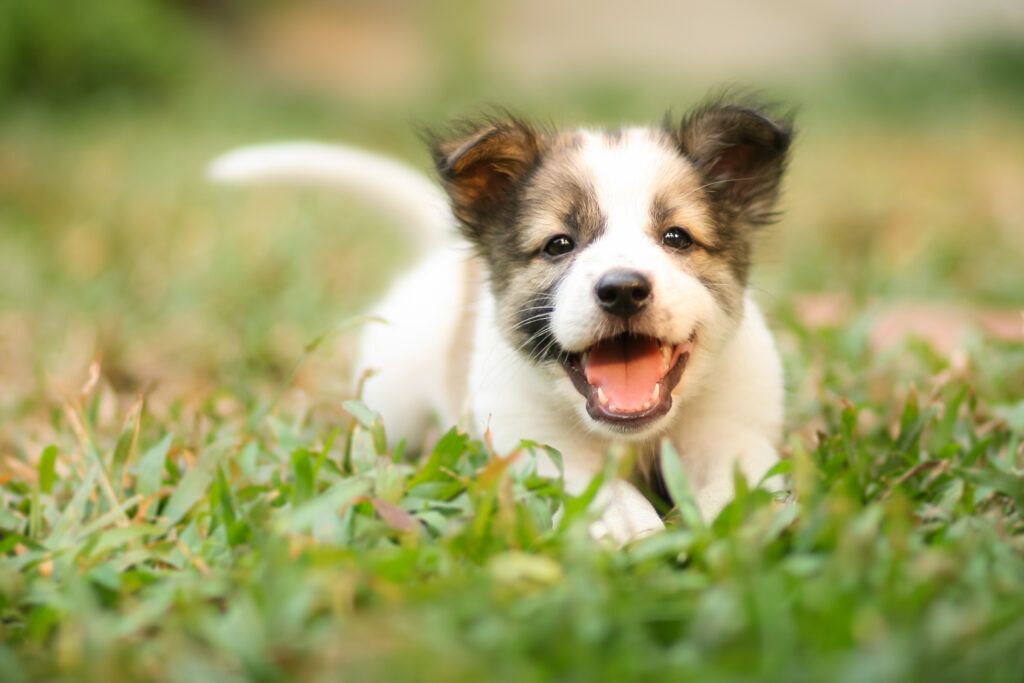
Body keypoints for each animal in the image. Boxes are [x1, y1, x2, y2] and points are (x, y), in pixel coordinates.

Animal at [207, 97, 790, 544]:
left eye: (676, 238)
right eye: (559, 244)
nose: (623, 289)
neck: (635, 437)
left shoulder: (735, 436)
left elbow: (735, 489)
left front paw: (728, 528)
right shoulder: (536, 445)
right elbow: (600, 490)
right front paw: (629, 526)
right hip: (391, 409)